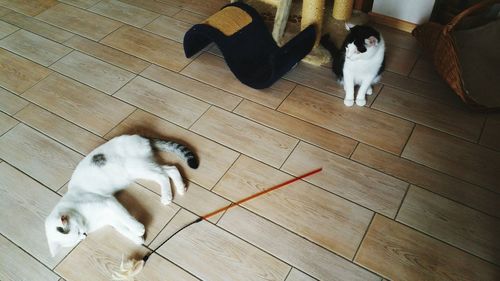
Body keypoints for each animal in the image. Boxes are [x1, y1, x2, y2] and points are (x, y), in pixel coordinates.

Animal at [44, 134, 197, 256]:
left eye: (77, 233)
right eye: (78, 239)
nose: (85, 234)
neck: (84, 219)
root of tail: (140, 136)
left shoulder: (108, 202)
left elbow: (126, 218)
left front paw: (139, 229)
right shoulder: (109, 219)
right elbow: (122, 228)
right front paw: (138, 238)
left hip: (136, 168)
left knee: (164, 175)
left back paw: (167, 195)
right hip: (143, 168)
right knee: (170, 169)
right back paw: (179, 188)